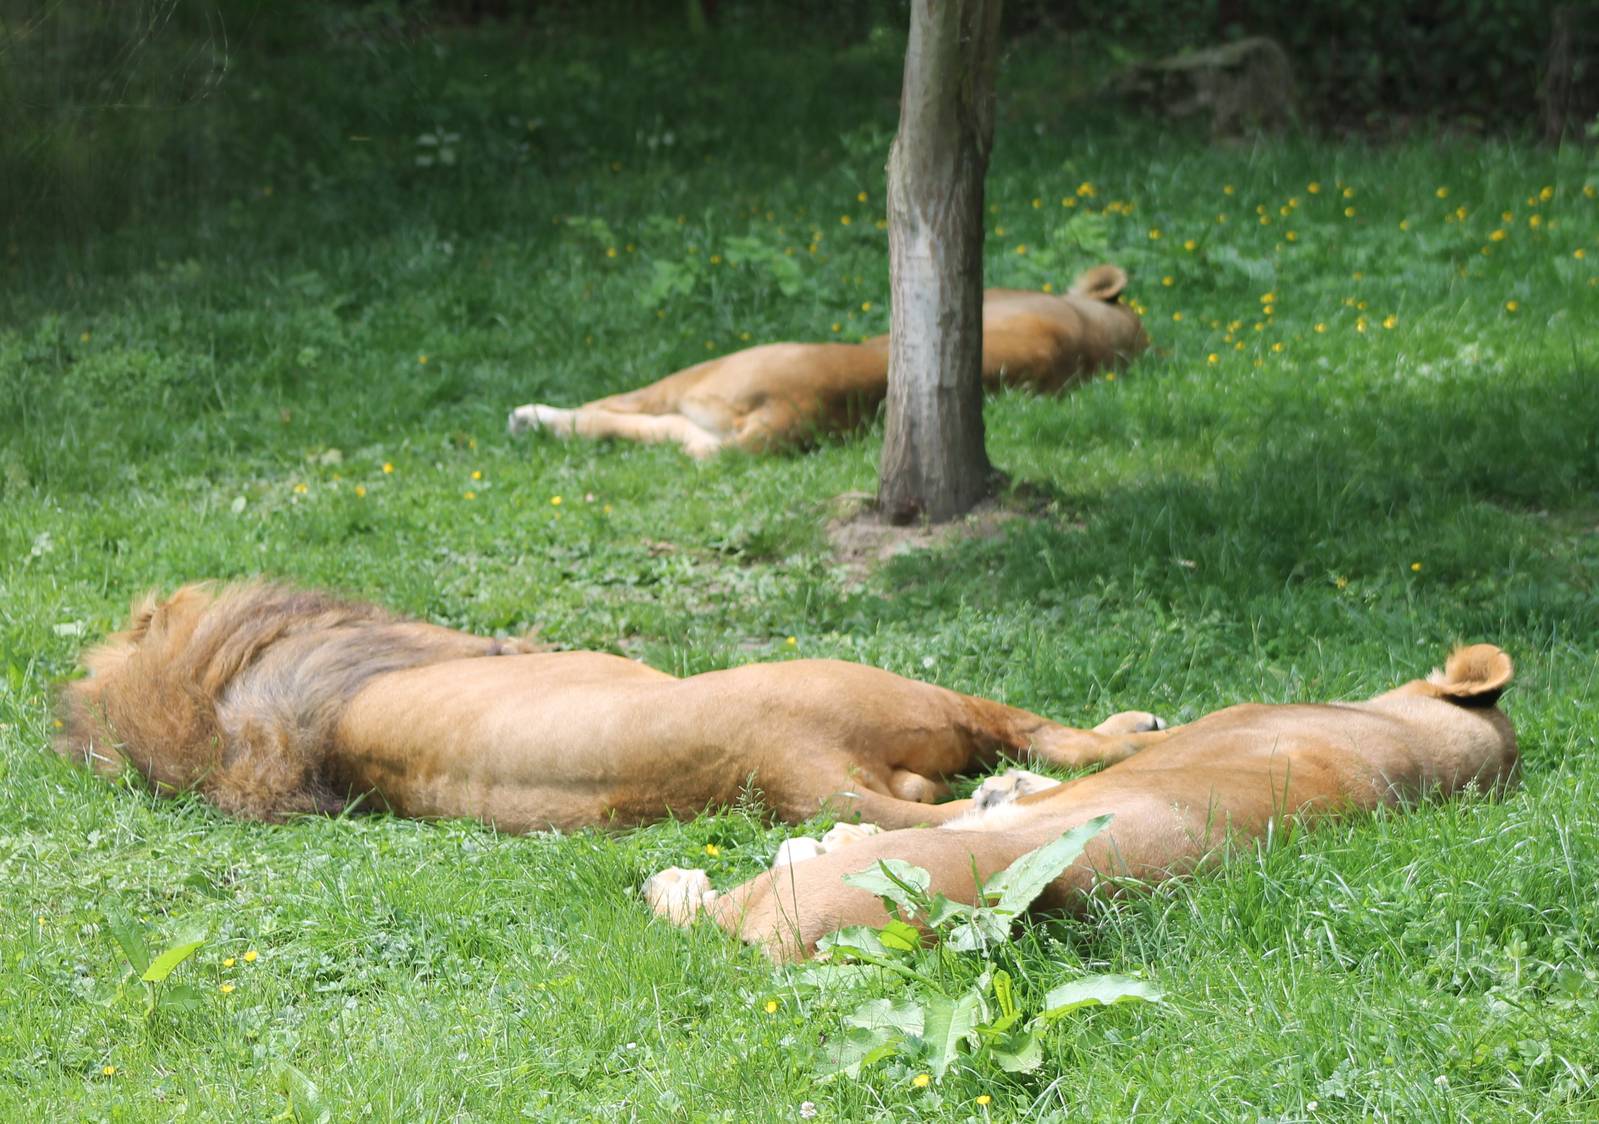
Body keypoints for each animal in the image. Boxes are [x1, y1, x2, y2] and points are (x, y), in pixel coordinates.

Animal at [507, 265, 1147, 458]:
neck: (1089, 337)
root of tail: (791, 411)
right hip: (703, 425)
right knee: (636, 427)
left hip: (705, 374)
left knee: (606, 409)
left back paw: (529, 418)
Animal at [647, 646, 1519, 959]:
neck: (1410, 750)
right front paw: (1002, 789)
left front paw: (1001, 790)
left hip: (775, 895)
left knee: (693, 907)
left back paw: (686, 877)